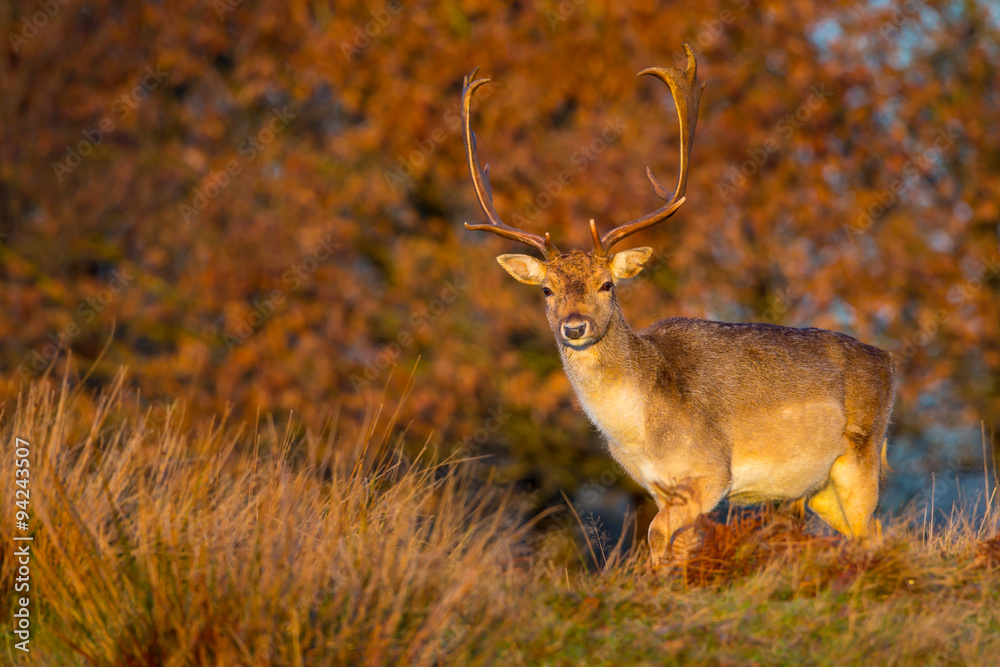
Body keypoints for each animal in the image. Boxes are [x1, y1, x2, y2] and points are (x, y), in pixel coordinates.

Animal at [460, 45, 896, 568]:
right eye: (546, 290)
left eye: (608, 284)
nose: (575, 326)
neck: (641, 430)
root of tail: (888, 361)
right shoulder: (655, 486)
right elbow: (666, 544)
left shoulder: (712, 471)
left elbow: (656, 537)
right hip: (823, 490)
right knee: (868, 532)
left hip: (861, 457)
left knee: (874, 530)